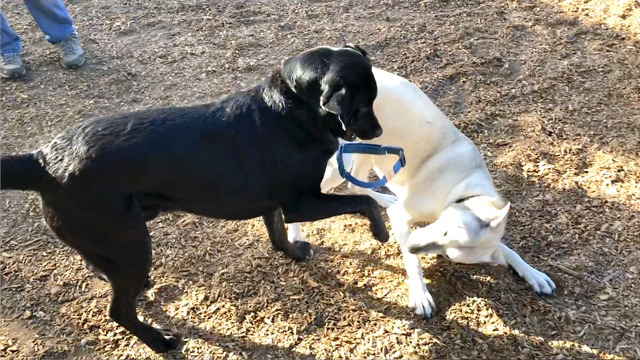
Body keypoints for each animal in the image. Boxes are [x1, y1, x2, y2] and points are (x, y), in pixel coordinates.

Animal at [2, 44, 388, 352]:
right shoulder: (301, 203)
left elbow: (277, 235)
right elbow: (364, 201)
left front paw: (293, 253)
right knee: (118, 310)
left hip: (111, 241)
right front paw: (380, 232)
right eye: (362, 103)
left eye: (373, 99)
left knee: (96, 266)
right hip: (132, 243)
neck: (293, 105)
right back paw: (159, 341)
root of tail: (41, 159)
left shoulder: (273, 203)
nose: (378, 131)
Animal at [290, 67, 556, 318]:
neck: (462, 188)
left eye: (446, 252)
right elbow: (413, 263)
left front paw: (533, 274)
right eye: (447, 231)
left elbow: (507, 249)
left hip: (366, 151)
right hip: (345, 159)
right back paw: (296, 235)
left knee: (355, 185)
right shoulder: (401, 216)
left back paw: (383, 197)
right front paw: (420, 295)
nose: (412, 246)